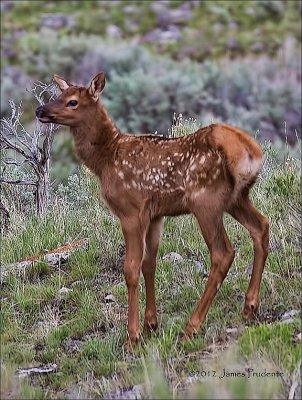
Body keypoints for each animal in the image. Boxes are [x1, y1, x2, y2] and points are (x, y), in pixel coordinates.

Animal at [35, 72, 268, 346]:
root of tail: (251, 152)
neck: (106, 161)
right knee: (261, 226)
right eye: (58, 94)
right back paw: (250, 307)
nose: (40, 110)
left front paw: (133, 336)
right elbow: (149, 263)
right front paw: (151, 325)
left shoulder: (130, 210)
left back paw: (192, 326)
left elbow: (131, 269)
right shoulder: (156, 215)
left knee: (223, 253)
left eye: (72, 101)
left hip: (206, 201)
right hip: (237, 198)